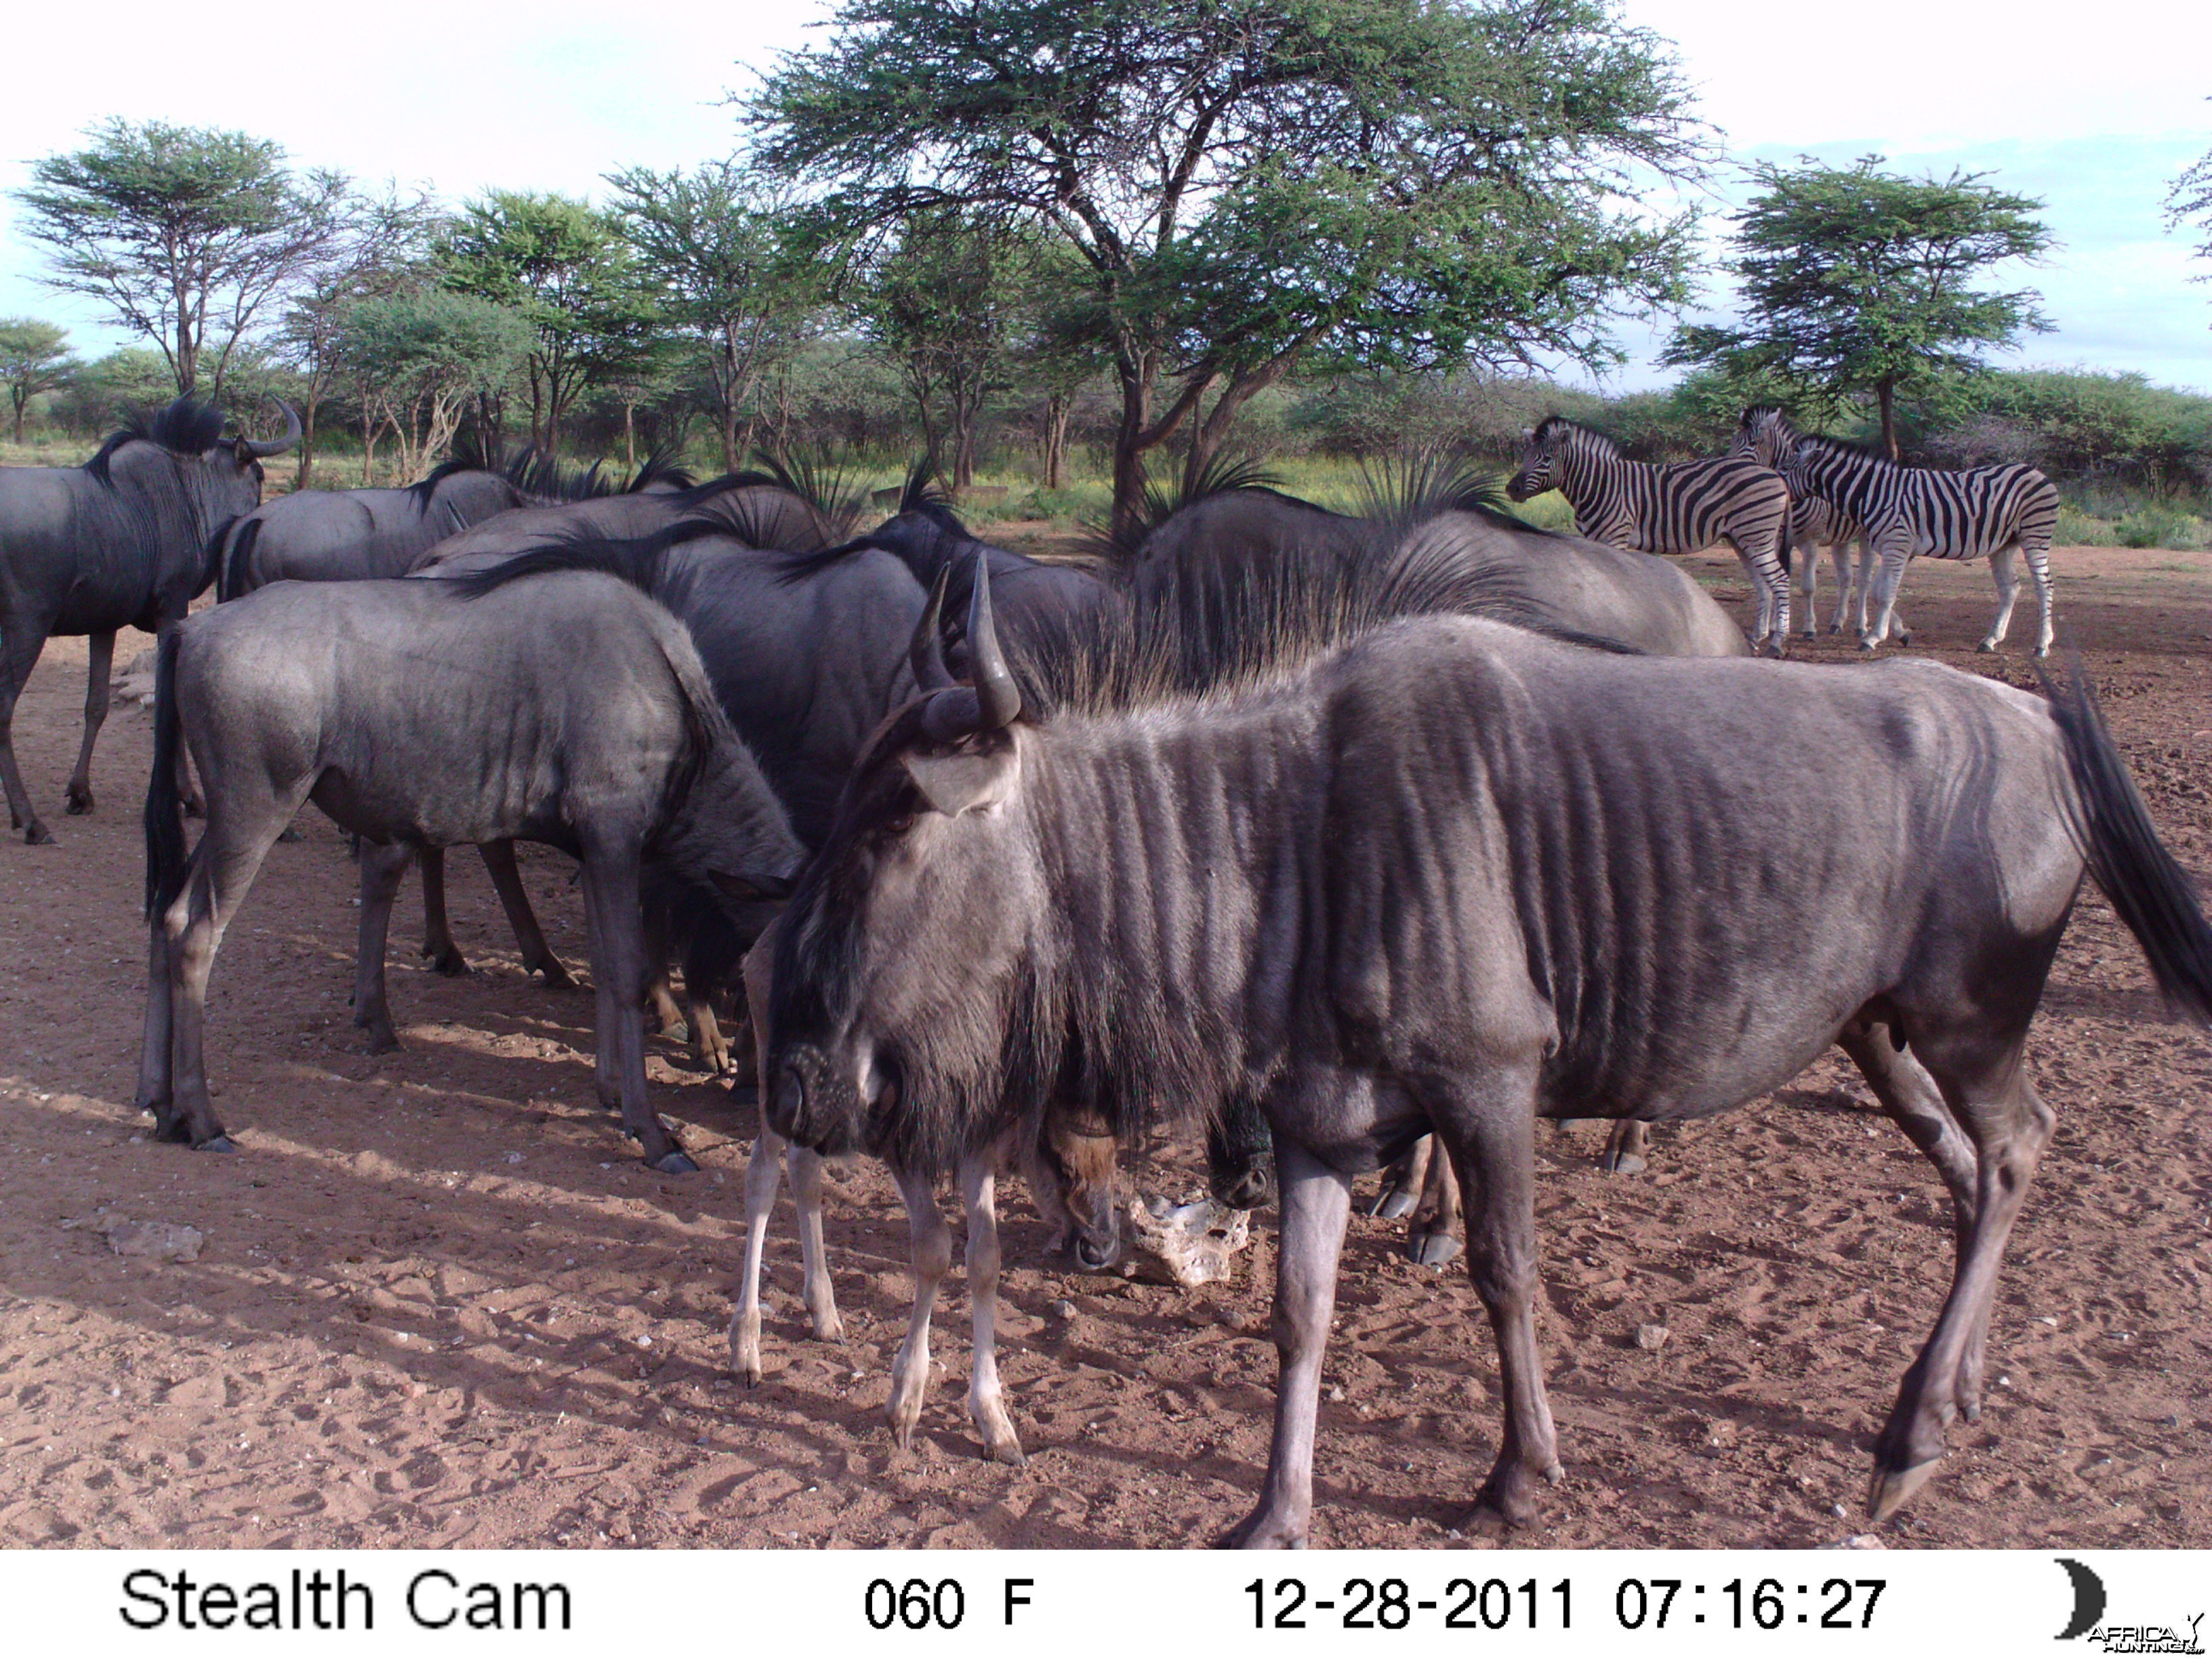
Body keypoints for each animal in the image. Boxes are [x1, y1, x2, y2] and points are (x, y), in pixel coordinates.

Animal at [1504, 415, 1796, 655]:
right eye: (1526, 456)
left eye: (1546, 459)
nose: (1512, 488)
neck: (1597, 485)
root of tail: (1775, 474)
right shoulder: (1593, 539)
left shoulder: (1615, 536)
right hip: (1743, 538)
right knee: (1763, 584)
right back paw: (1756, 639)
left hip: (1756, 535)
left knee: (1780, 581)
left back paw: (1777, 643)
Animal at [1734, 407, 2062, 655]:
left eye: (1785, 469)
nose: (1767, 487)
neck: (1873, 491)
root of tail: (2035, 471)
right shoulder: (1890, 546)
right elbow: (1878, 591)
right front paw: (1897, 632)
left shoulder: (1897, 545)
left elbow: (1886, 593)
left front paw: (1872, 638)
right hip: (2003, 545)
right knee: (2011, 588)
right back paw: (1990, 640)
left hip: (2034, 537)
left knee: (2044, 586)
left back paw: (2042, 645)